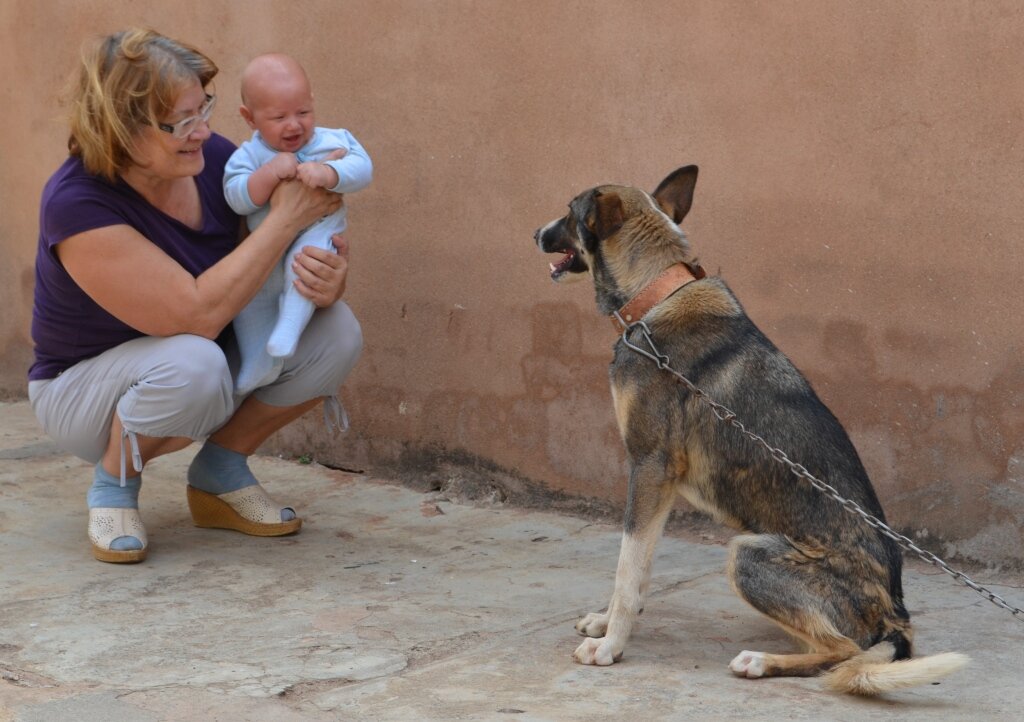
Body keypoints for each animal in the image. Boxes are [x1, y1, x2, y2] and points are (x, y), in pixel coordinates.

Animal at [536, 164, 966, 692]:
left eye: (568, 213)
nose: (535, 234)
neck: (655, 292)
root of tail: (896, 614)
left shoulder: (650, 468)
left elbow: (626, 567)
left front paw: (611, 645)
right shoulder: (661, 484)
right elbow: (640, 569)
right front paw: (608, 623)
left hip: (748, 555)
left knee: (843, 652)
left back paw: (761, 661)